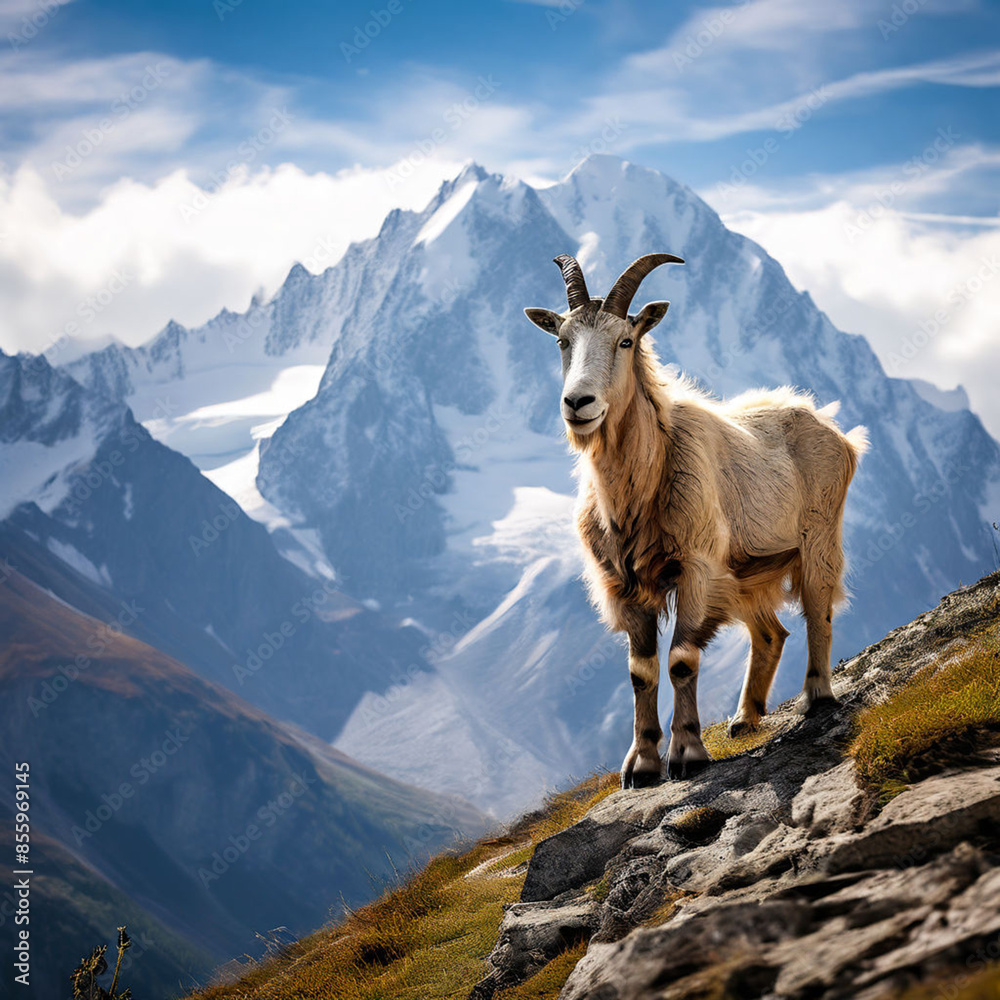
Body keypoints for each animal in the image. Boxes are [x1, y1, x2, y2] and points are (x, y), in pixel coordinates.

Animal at [525, 253, 867, 787]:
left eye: (626, 340)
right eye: (562, 340)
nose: (578, 403)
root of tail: (835, 430)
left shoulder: (697, 569)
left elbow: (682, 660)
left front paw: (687, 754)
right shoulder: (625, 584)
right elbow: (640, 670)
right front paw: (642, 765)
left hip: (817, 538)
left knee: (818, 610)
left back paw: (817, 698)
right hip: (746, 571)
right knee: (771, 633)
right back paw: (745, 719)